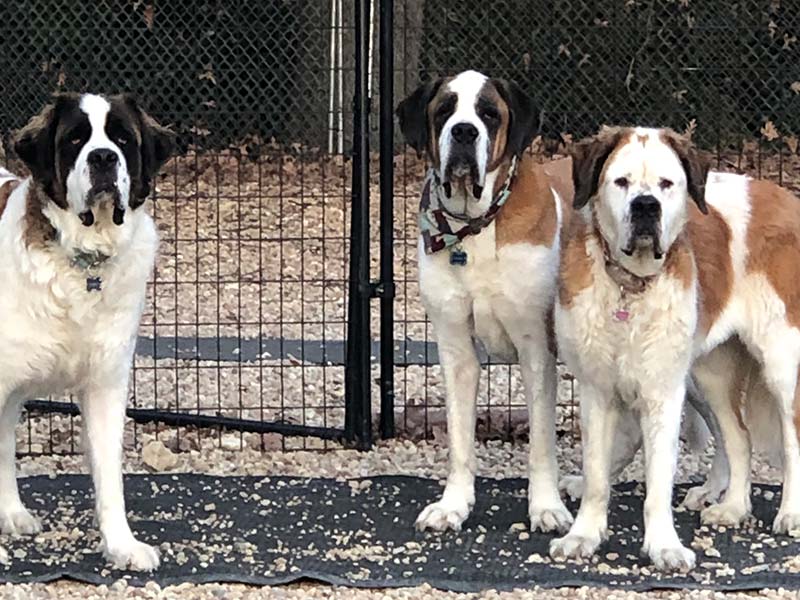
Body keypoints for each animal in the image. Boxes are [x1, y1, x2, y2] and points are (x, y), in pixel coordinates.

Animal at [0, 91, 174, 568]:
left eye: (121, 139)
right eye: (75, 139)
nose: (102, 157)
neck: (79, 262)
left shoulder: (106, 383)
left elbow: (109, 475)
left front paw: (122, 545)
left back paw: (12, 512)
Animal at [396, 70, 576, 536]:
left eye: (489, 114)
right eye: (444, 109)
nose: (464, 131)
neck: (474, 227)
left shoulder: (536, 351)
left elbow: (541, 442)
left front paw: (546, 507)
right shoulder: (455, 349)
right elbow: (460, 439)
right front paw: (453, 505)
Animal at [552, 126, 800, 572]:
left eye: (666, 184)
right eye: (622, 182)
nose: (646, 206)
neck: (630, 289)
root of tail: (786, 197)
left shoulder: (663, 394)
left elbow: (658, 483)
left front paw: (663, 546)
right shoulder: (597, 391)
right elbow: (596, 472)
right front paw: (583, 536)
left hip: (782, 363)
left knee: (792, 440)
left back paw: (790, 513)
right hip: (711, 373)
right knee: (739, 437)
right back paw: (732, 508)